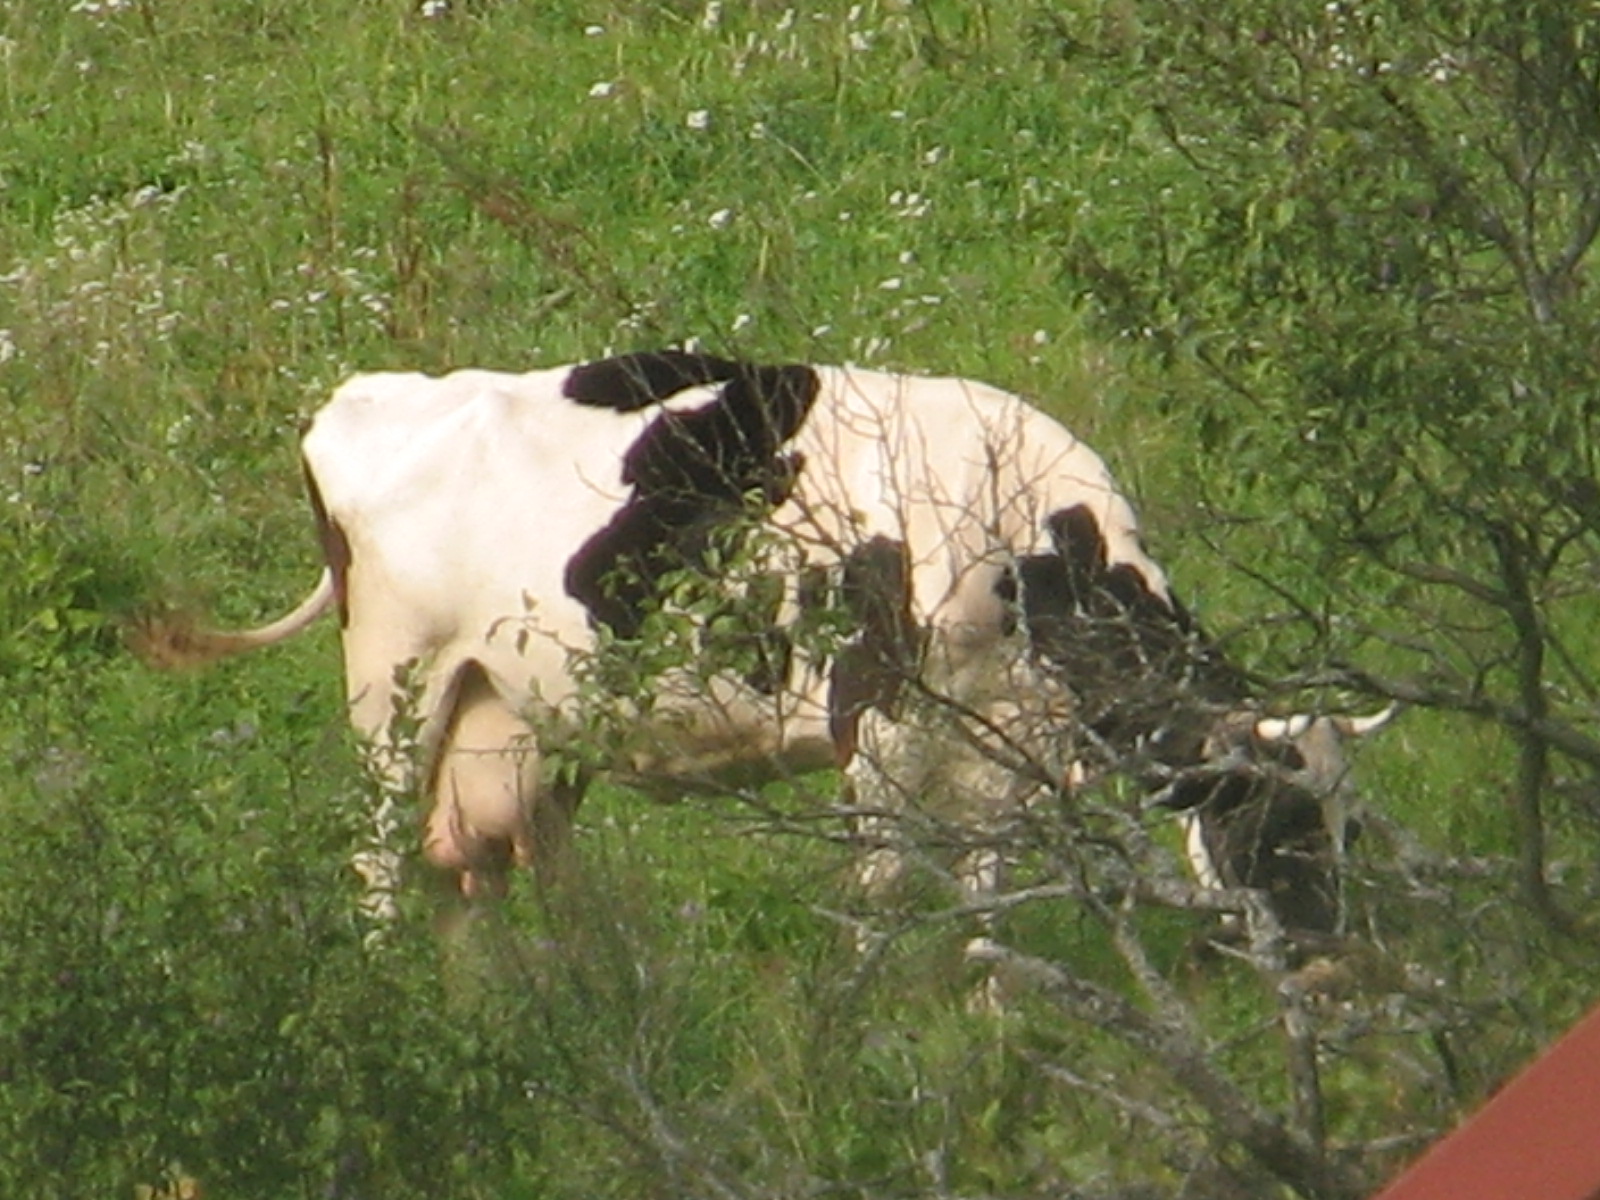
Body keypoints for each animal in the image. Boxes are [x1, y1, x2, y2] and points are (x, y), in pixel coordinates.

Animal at [138, 350, 1389, 941]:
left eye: (1346, 823)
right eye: (1274, 818)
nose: (1329, 957)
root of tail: (366, 393)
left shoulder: (1002, 748)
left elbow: (986, 899)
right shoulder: (877, 722)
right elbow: (884, 888)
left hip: (518, 715)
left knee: (488, 868)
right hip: (393, 693)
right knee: (384, 862)